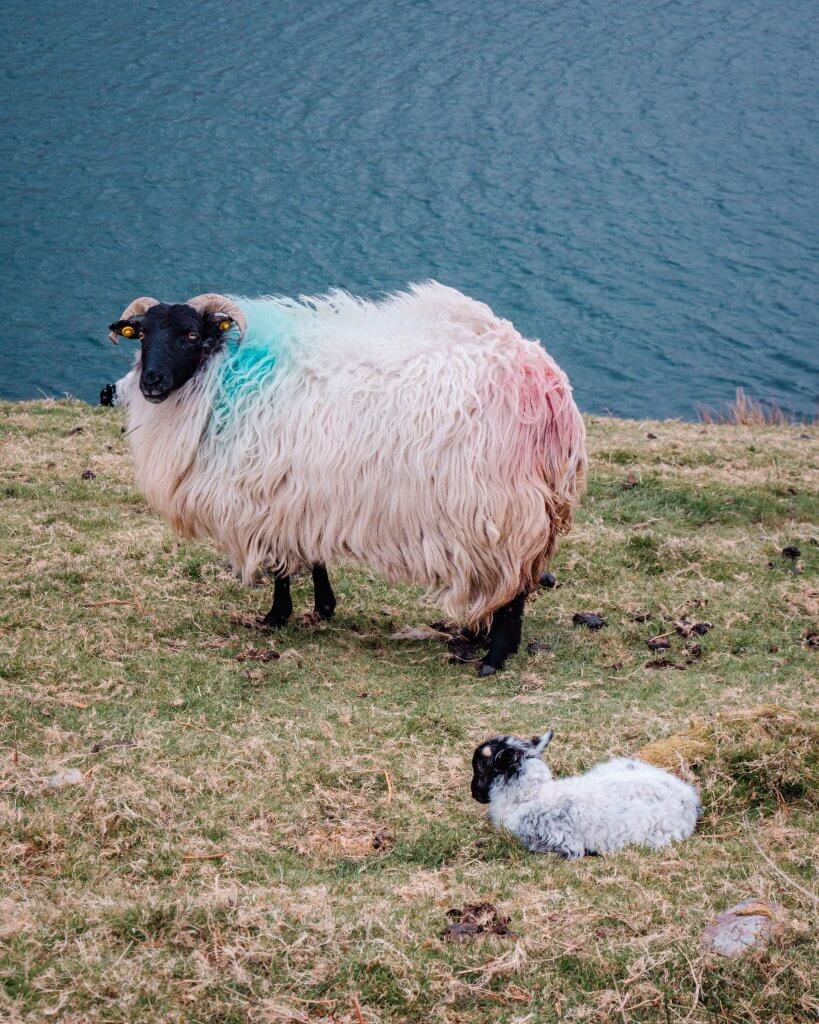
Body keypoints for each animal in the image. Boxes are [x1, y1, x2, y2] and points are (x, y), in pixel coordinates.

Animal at [102, 282, 587, 673]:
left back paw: (494, 658)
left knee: (517, 588)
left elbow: (280, 566)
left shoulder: (267, 493)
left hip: (507, 509)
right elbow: (310, 555)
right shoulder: (303, 490)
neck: (227, 378)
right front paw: (323, 607)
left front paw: (276, 617)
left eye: (190, 335)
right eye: (143, 335)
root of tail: (551, 389)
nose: (151, 382)